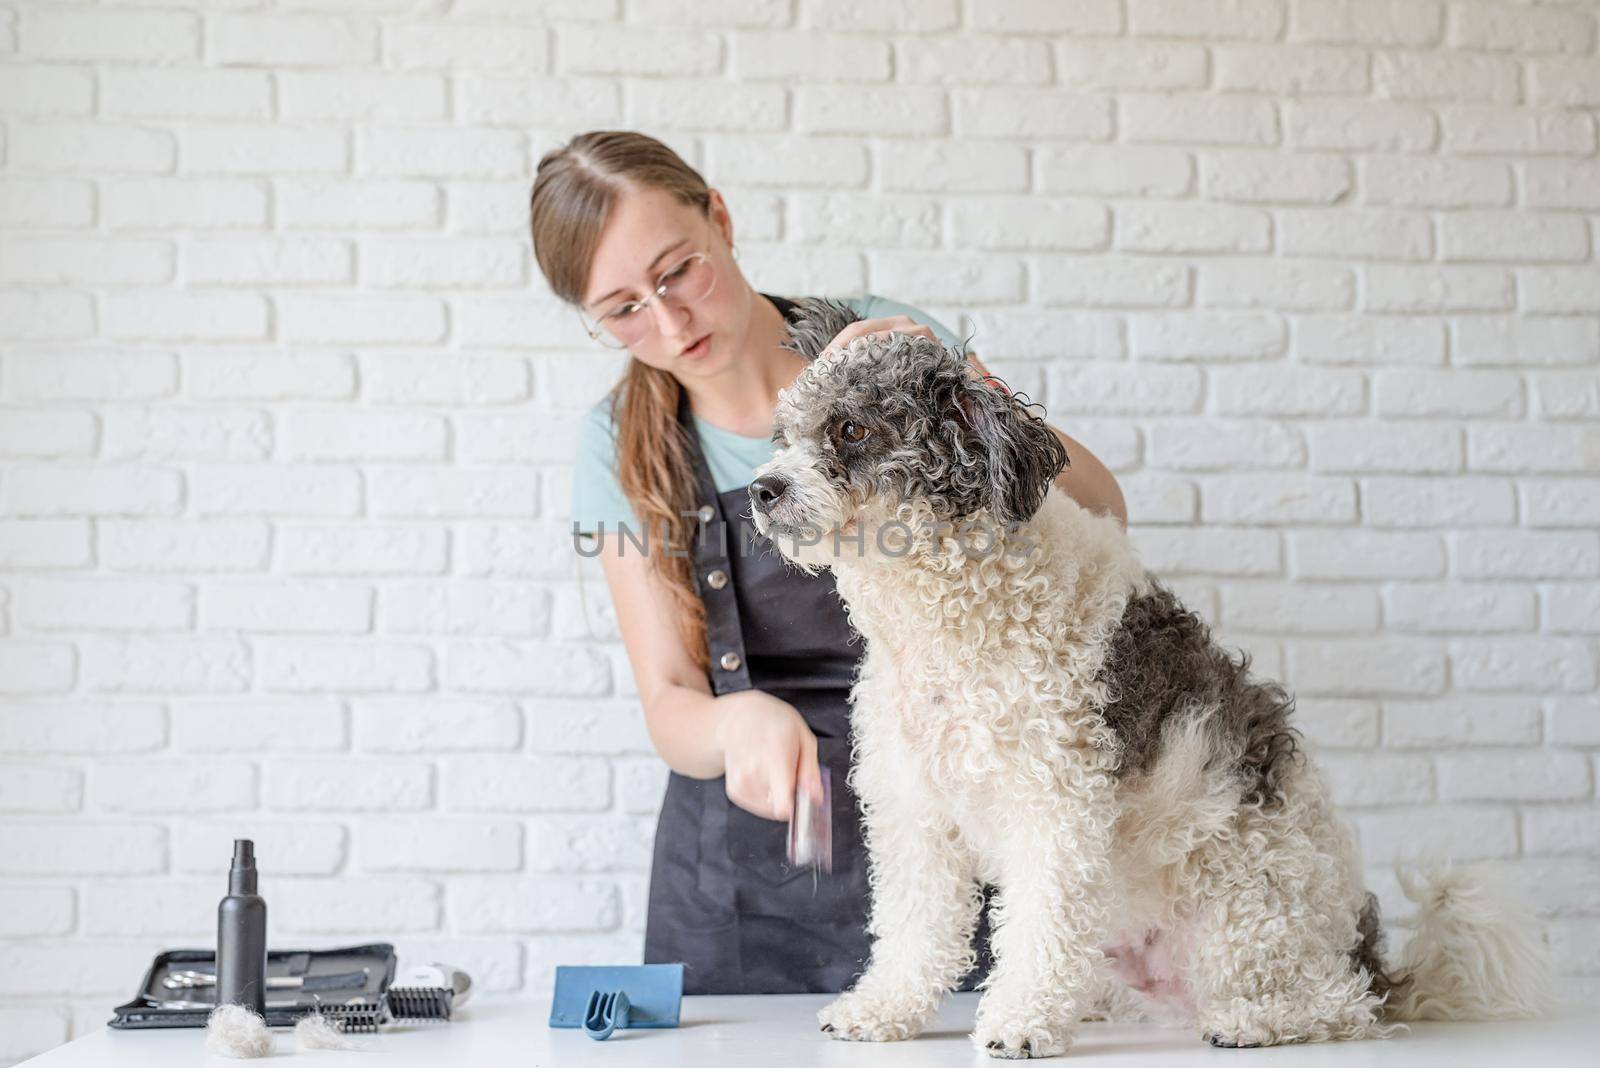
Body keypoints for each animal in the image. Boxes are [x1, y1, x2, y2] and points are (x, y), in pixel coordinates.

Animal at [745, 300, 1548, 1061]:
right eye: (784, 435)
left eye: (850, 429)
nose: (760, 489)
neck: (953, 620)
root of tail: (1364, 953)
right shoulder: (915, 810)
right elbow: (914, 928)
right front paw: (881, 1010)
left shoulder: (1056, 806)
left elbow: (1039, 928)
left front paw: (1022, 1022)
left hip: (1246, 907)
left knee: (1341, 1006)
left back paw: (1255, 1022)